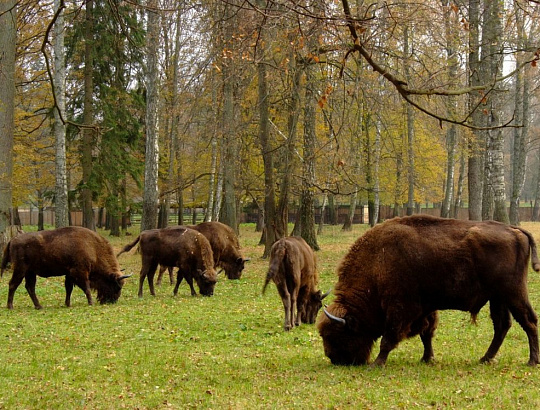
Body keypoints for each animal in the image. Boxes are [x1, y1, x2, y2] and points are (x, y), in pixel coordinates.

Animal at [0, 226, 130, 310]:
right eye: (116, 286)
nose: (113, 301)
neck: (93, 248)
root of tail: (12, 239)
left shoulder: (69, 274)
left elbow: (69, 289)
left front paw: (68, 304)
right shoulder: (80, 272)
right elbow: (86, 288)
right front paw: (90, 302)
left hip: (30, 272)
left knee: (29, 287)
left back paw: (39, 306)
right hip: (20, 270)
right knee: (13, 284)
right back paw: (10, 306)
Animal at [316, 216, 540, 366]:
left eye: (336, 334)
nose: (334, 359)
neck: (377, 261)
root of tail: (515, 230)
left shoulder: (399, 308)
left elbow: (389, 338)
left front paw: (378, 363)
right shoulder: (425, 308)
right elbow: (427, 333)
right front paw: (427, 358)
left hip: (513, 293)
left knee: (528, 321)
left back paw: (531, 361)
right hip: (498, 298)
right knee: (502, 326)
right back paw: (485, 358)